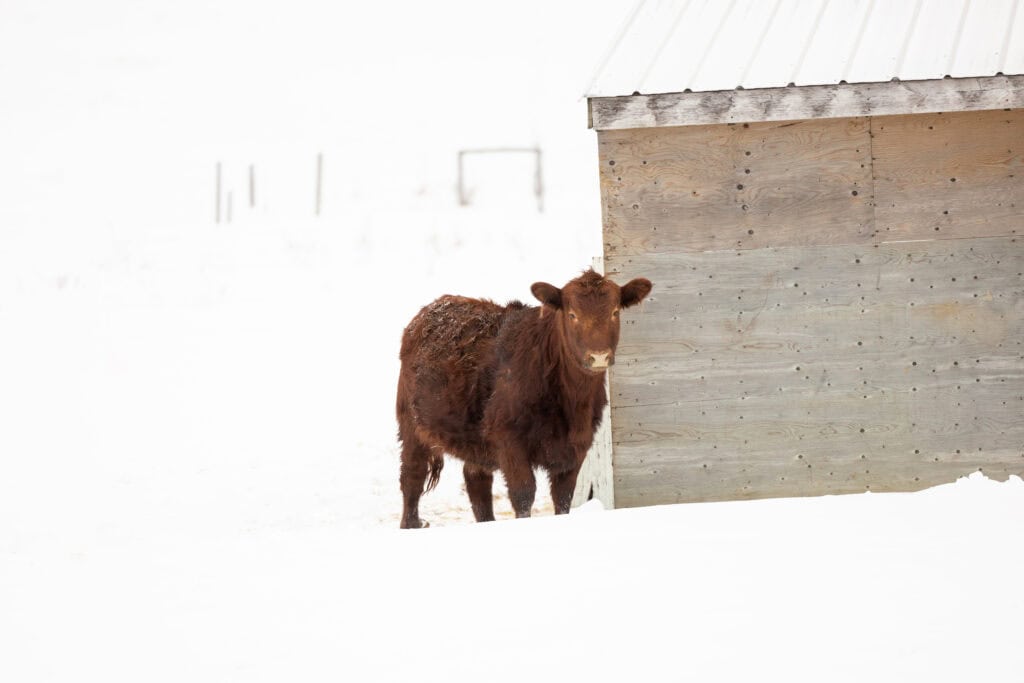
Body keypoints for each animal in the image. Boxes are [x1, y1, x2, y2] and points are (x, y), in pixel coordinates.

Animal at [395, 269, 652, 528]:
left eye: (614, 312)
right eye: (572, 315)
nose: (598, 356)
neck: (571, 402)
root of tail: (433, 308)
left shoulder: (577, 446)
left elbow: (563, 498)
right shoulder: (509, 441)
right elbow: (523, 494)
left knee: (476, 481)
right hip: (411, 423)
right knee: (412, 477)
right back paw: (411, 523)